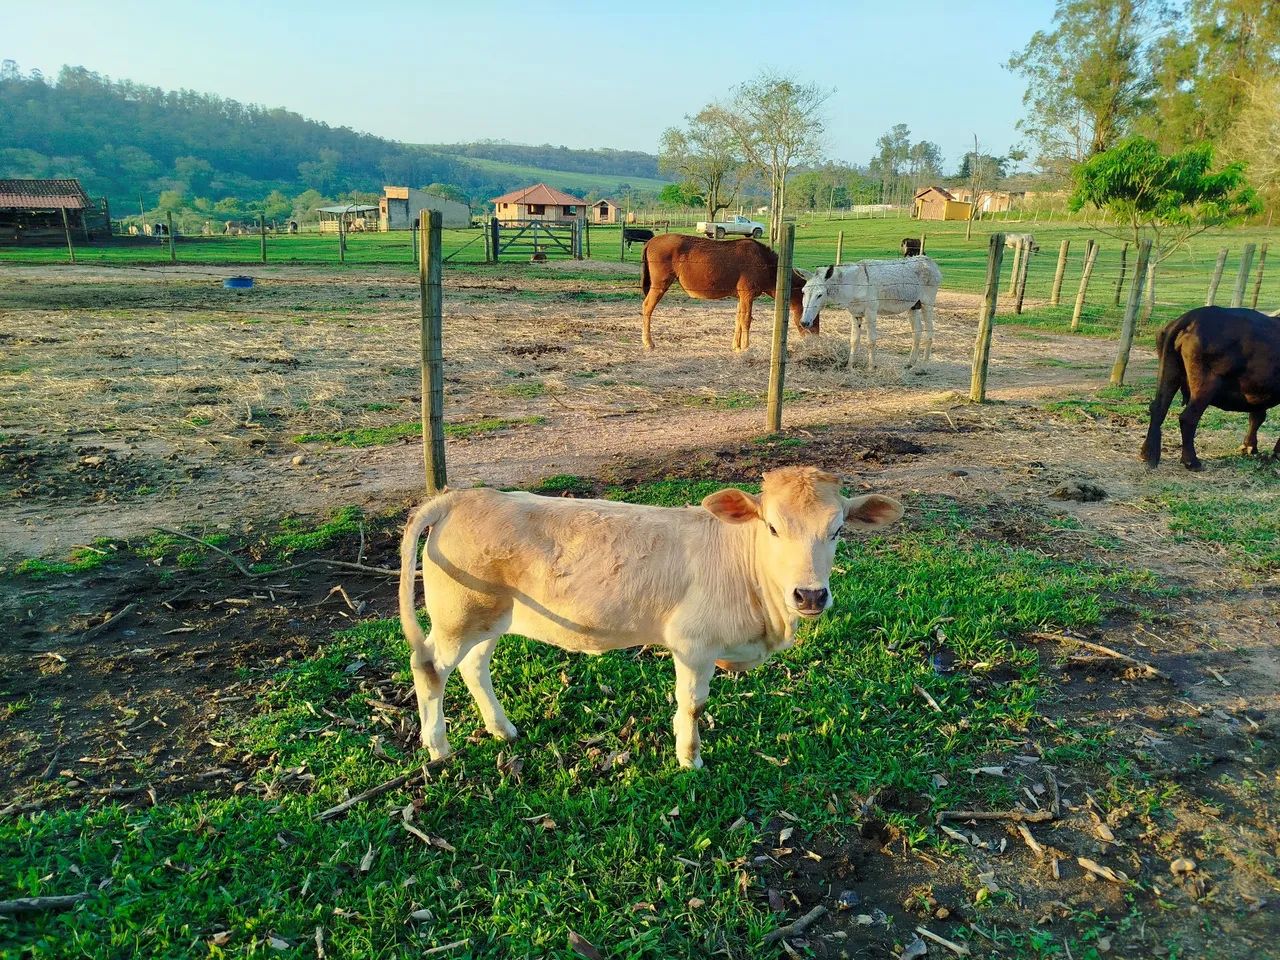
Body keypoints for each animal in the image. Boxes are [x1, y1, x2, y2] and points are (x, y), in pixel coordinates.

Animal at [398, 467, 904, 768]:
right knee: (429, 667)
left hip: (488, 618)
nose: (810, 595)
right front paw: (689, 759)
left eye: (837, 530)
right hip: (458, 615)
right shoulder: (693, 645)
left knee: (474, 666)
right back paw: (438, 747)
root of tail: (463, 498)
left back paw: (502, 728)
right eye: (773, 527)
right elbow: (693, 704)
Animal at [641, 233, 811, 351]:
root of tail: (650, 241)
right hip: (659, 285)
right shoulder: (747, 294)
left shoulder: (741, 297)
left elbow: (738, 319)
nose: (811, 337)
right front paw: (746, 347)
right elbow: (746, 320)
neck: (766, 263)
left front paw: (736, 345)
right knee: (647, 307)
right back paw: (648, 342)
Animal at [798, 257, 943, 370]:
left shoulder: (871, 312)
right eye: (803, 292)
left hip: (927, 304)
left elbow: (871, 340)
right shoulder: (855, 314)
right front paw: (850, 366)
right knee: (917, 332)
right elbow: (854, 340)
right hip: (913, 306)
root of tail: (929, 261)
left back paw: (924, 366)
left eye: (820, 295)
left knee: (930, 332)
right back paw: (910, 363)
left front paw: (871, 367)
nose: (804, 323)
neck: (854, 284)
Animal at [1140, 306, 1280, 470]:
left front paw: (1250, 447)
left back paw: (1148, 453)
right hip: (1205, 386)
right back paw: (1191, 461)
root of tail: (1193, 316)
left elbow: (1257, 416)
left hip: (1169, 372)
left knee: (1158, 408)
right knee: (1188, 418)